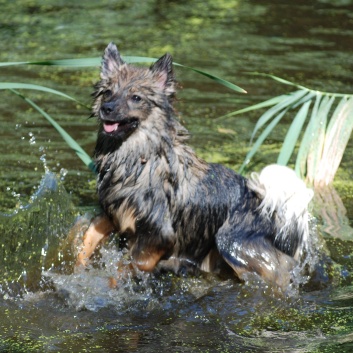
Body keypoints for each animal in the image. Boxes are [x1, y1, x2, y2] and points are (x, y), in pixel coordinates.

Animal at [75, 42, 312, 288]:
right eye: (107, 92)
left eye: (136, 97)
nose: (107, 108)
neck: (136, 157)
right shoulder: (115, 214)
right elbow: (88, 236)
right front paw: (78, 265)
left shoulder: (158, 234)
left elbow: (130, 264)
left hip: (234, 245)